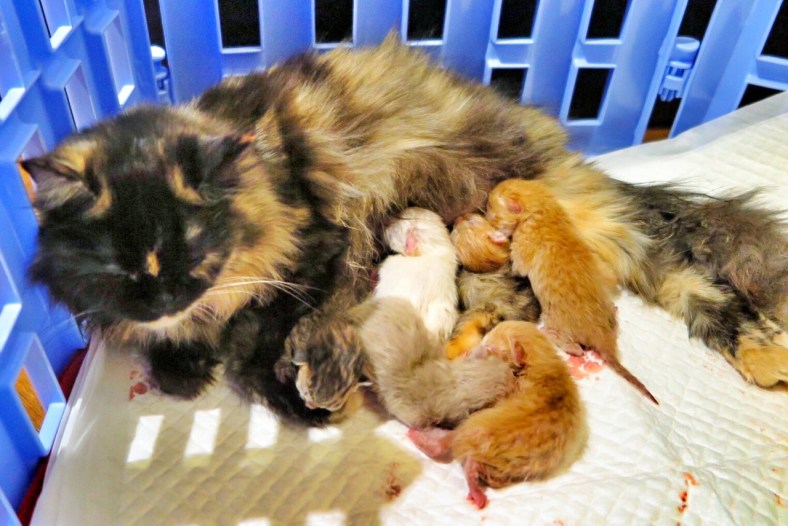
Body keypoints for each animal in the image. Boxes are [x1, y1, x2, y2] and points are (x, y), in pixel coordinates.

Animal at [409, 321, 587, 509]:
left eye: (489, 346)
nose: (478, 347)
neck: (544, 360)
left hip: (472, 425)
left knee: (444, 444)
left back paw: (419, 436)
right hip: (499, 466)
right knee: (472, 466)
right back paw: (476, 491)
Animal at [486, 179, 658, 404]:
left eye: (490, 208)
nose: (485, 207)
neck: (544, 210)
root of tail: (601, 336)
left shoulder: (523, 247)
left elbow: (517, 265)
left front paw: (498, 237)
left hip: (556, 322)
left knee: (574, 348)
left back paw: (555, 338)